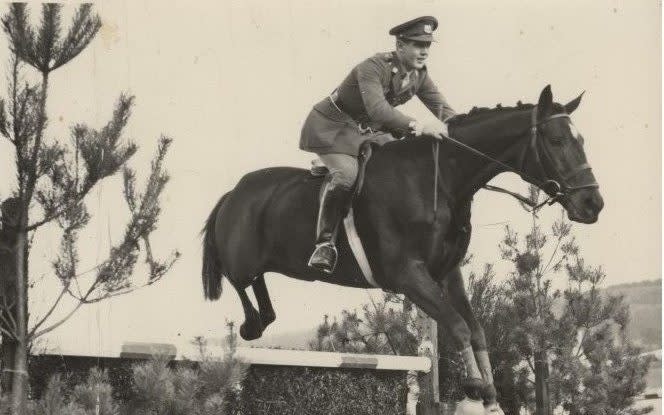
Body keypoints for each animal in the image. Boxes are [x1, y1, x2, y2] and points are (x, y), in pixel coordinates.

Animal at [200, 86, 604, 414]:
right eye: (556, 141)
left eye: (582, 140)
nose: (593, 205)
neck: (440, 181)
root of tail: (233, 192)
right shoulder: (408, 274)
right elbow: (457, 326)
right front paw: (474, 387)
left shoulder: (447, 272)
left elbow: (475, 330)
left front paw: (490, 395)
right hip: (241, 258)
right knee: (239, 280)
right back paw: (253, 325)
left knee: (256, 286)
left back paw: (261, 320)